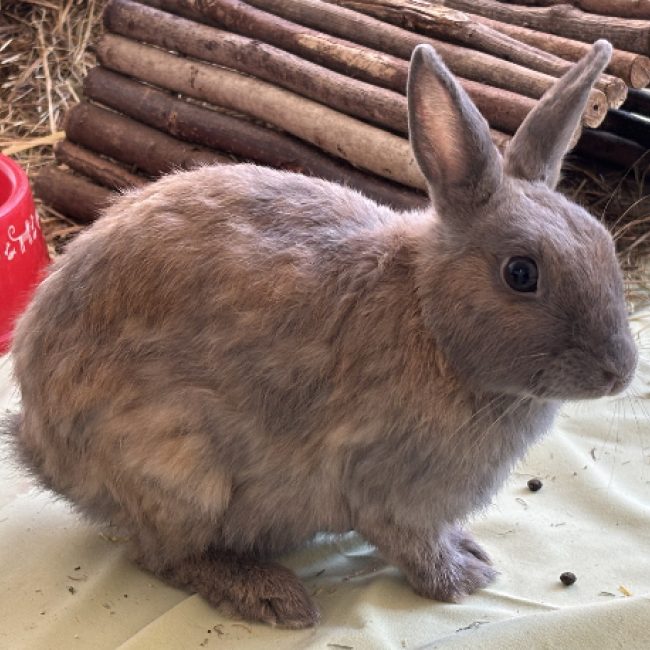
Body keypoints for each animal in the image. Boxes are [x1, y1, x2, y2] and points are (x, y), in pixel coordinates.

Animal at [3, 39, 637, 629]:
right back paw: (269, 595)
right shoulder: (389, 491)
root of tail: (41, 447)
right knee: (166, 556)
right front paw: (463, 577)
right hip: (179, 472)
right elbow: (413, 545)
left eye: (604, 242)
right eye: (521, 273)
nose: (620, 372)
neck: (431, 317)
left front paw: (471, 553)